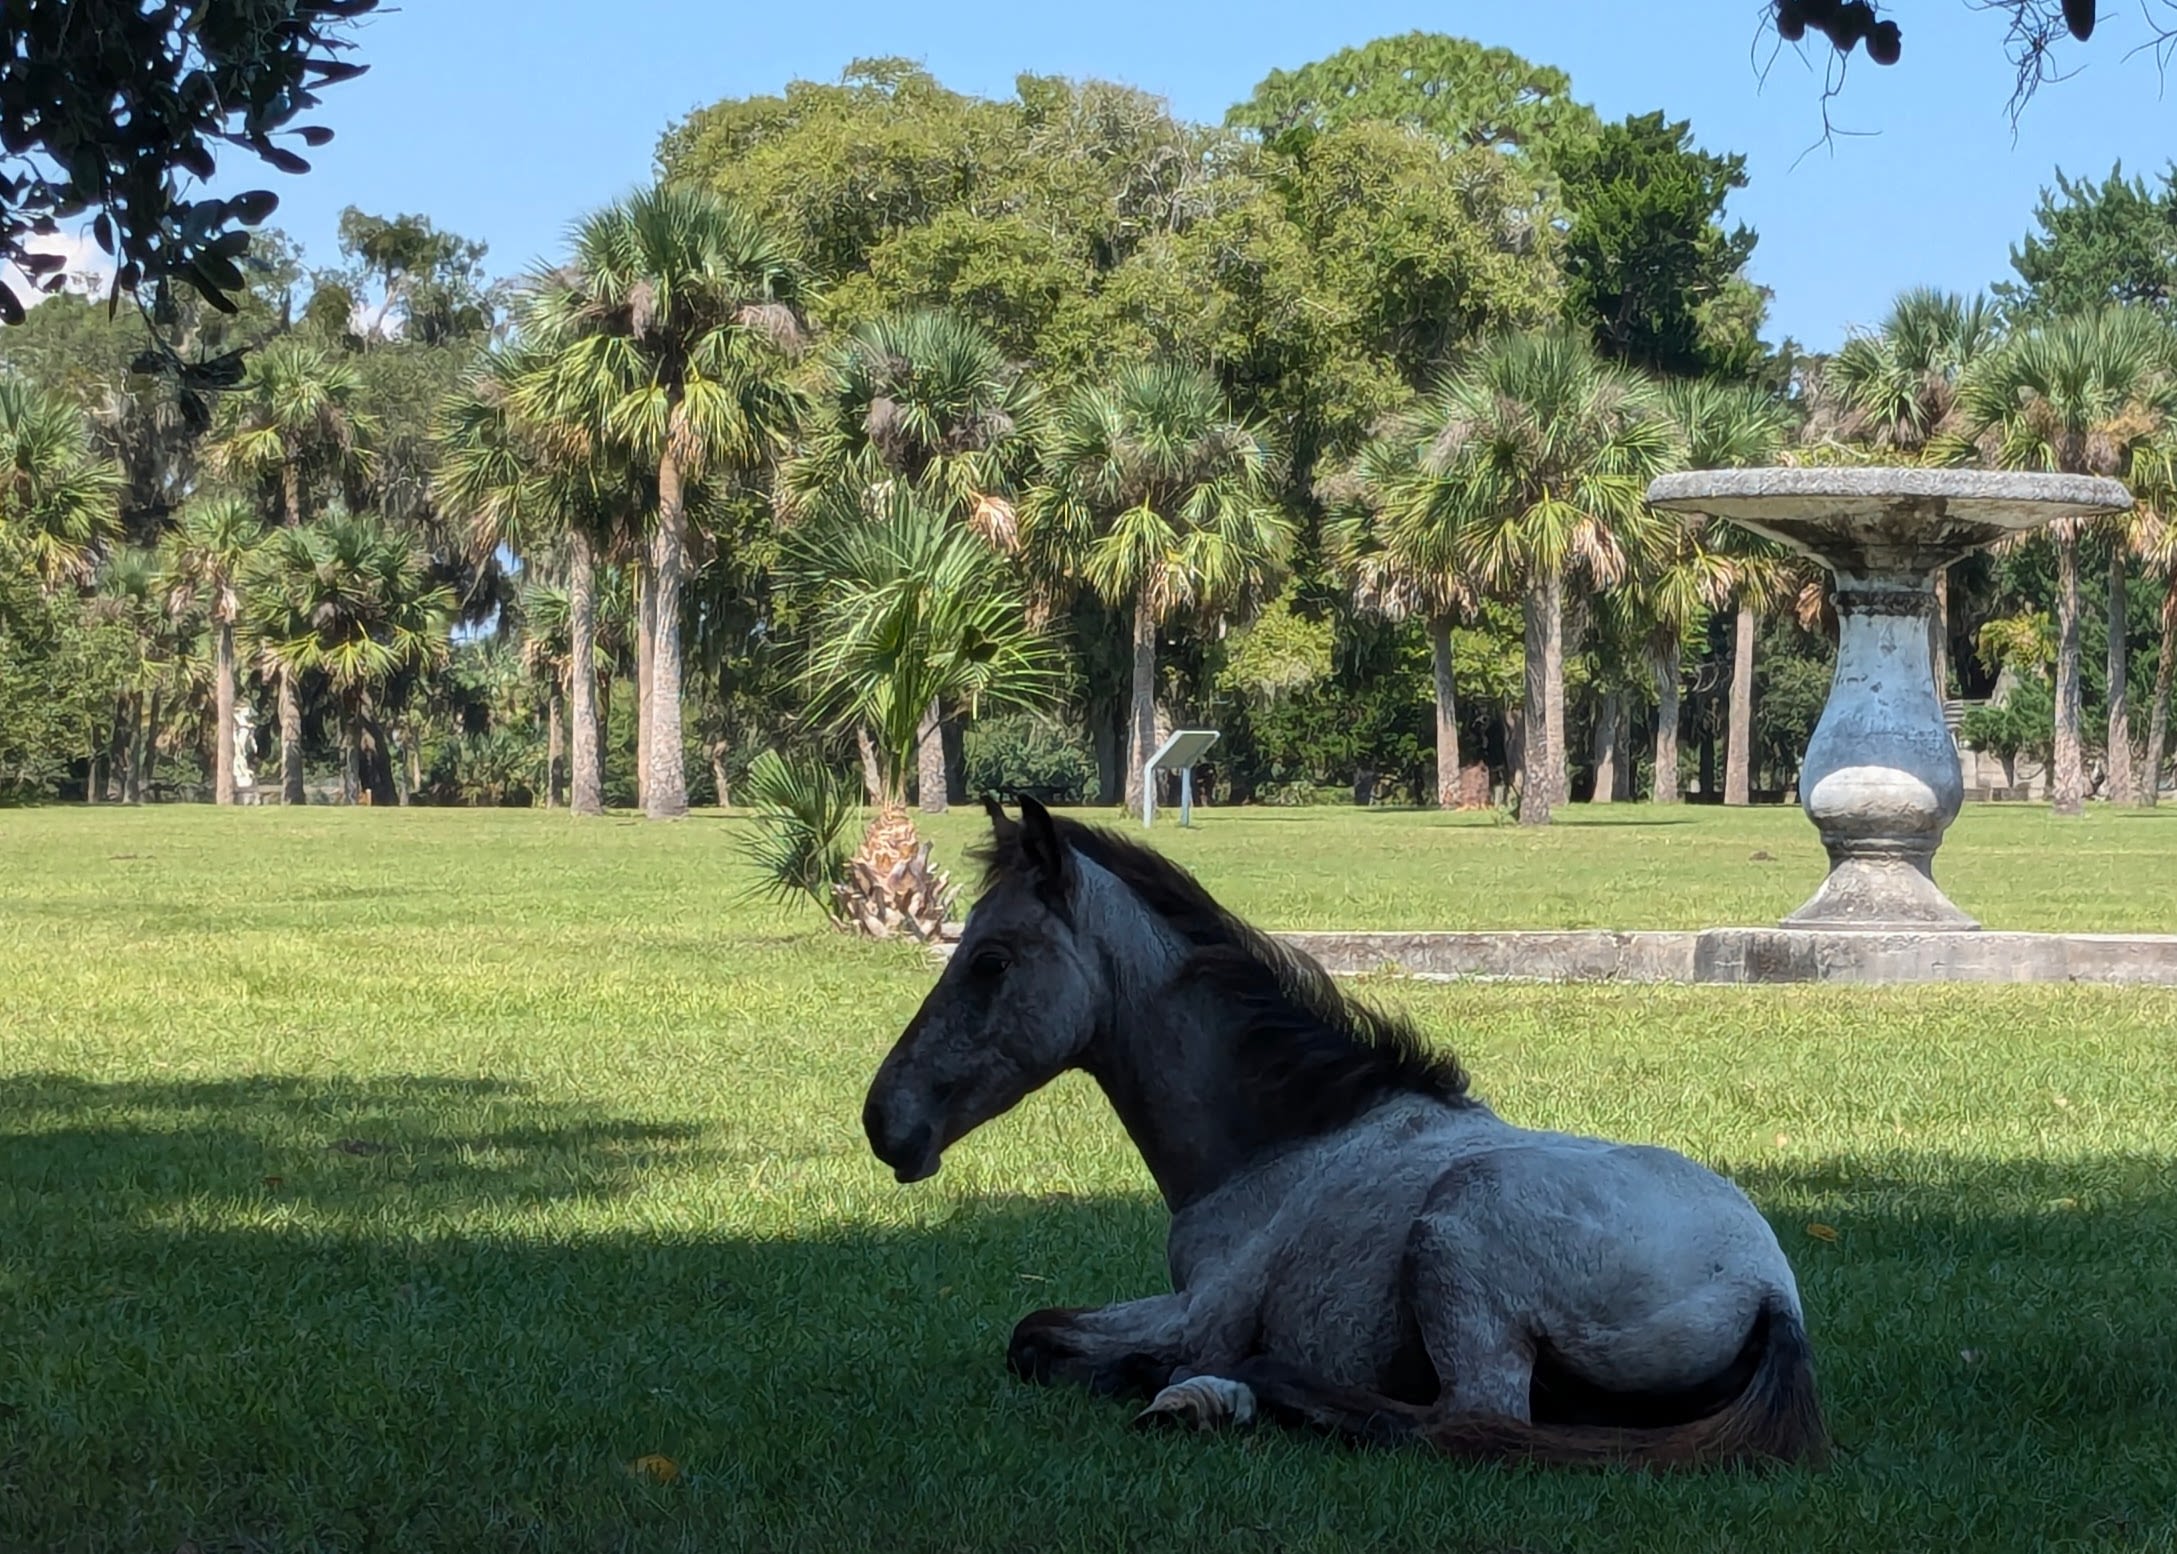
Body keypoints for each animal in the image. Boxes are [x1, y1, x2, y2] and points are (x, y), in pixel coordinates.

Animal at [862, 797, 1828, 1469]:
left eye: (990, 961)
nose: (883, 1123)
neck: (1287, 1143)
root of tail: (1771, 1292)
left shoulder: (1199, 1315)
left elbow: (1040, 1335)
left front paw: (1175, 1383)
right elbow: (1037, 1329)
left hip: (1457, 1239)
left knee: (1467, 1422)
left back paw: (1238, 1391)